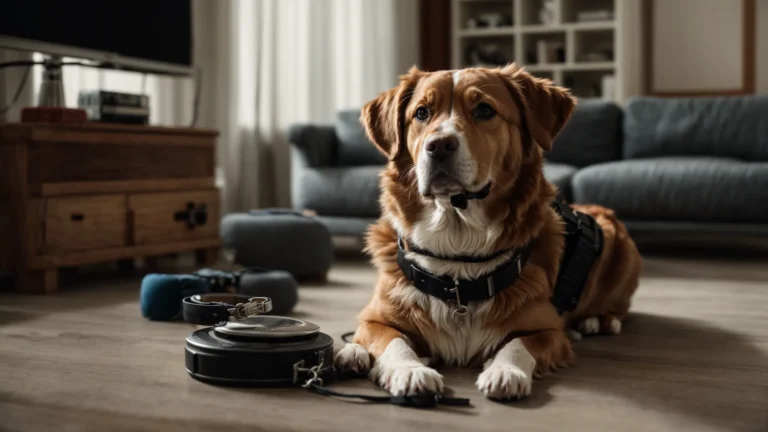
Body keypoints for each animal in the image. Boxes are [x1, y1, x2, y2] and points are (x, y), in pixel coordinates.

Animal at [336, 64, 640, 402]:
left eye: (484, 110)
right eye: (421, 113)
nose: (438, 146)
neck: (457, 250)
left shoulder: (548, 330)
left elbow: (518, 344)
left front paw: (505, 372)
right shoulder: (375, 320)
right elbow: (394, 342)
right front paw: (410, 370)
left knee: (617, 308)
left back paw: (598, 320)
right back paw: (352, 354)